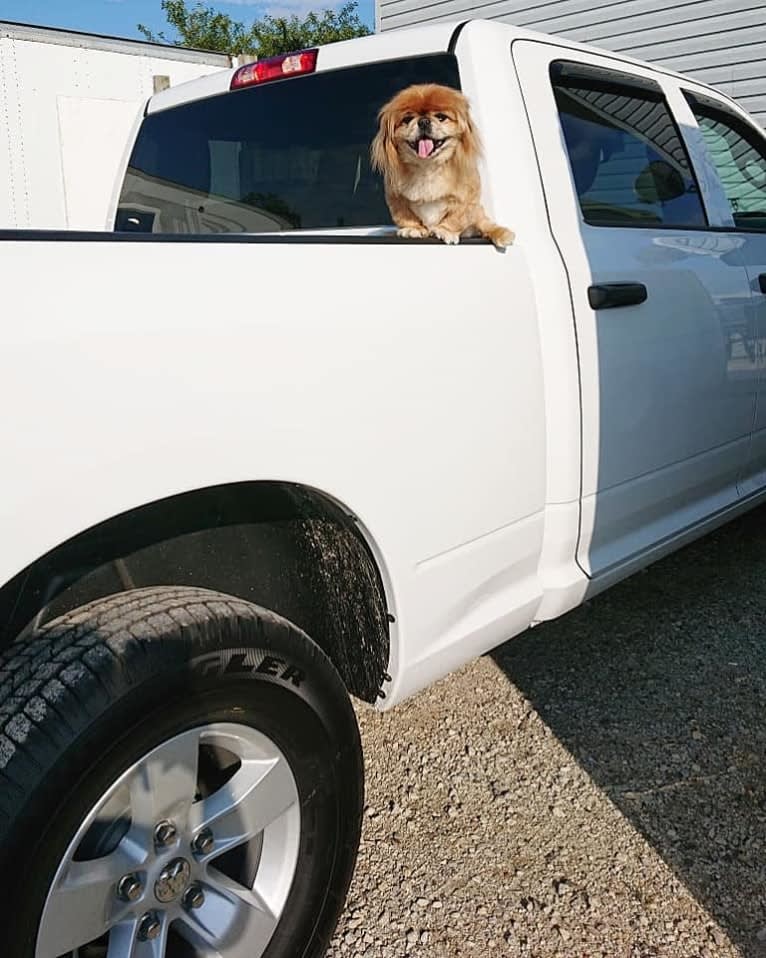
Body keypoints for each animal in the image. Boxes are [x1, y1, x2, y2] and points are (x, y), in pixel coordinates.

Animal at [372, 83, 516, 249]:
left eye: (441, 117)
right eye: (407, 119)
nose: (423, 121)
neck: (427, 168)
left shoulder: (467, 197)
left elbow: (456, 218)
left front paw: (445, 231)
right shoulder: (396, 197)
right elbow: (405, 216)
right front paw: (413, 229)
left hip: (478, 214)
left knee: (485, 224)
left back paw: (502, 234)